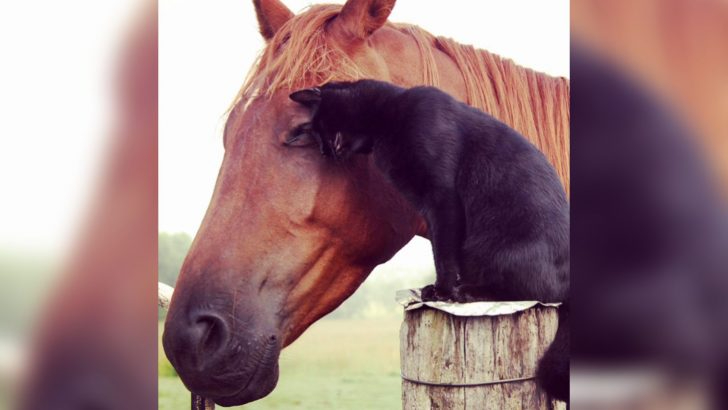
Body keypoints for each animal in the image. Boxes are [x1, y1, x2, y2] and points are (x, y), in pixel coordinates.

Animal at [290, 79, 568, 400]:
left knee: (535, 293)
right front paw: (439, 288)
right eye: (320, 142)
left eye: (325, 131)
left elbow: (444, 253)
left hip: (497, 251)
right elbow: (439, 248)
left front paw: (442, 291)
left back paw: (467, 293)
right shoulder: (426, 206)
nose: (328, 152)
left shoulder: (442, 198)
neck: (390, 118)